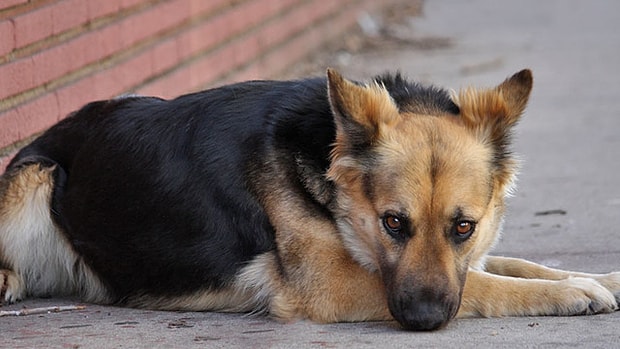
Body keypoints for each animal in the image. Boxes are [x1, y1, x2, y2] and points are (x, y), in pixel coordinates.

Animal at [1, 67, 620, 328]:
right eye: (393, 223)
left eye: (462, 227)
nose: (420, 320)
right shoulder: (335, 285)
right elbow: (490, 285)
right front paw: (571, 294)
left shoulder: (466, 257)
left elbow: (516, 263)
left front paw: (600, 278)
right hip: (35, 178)